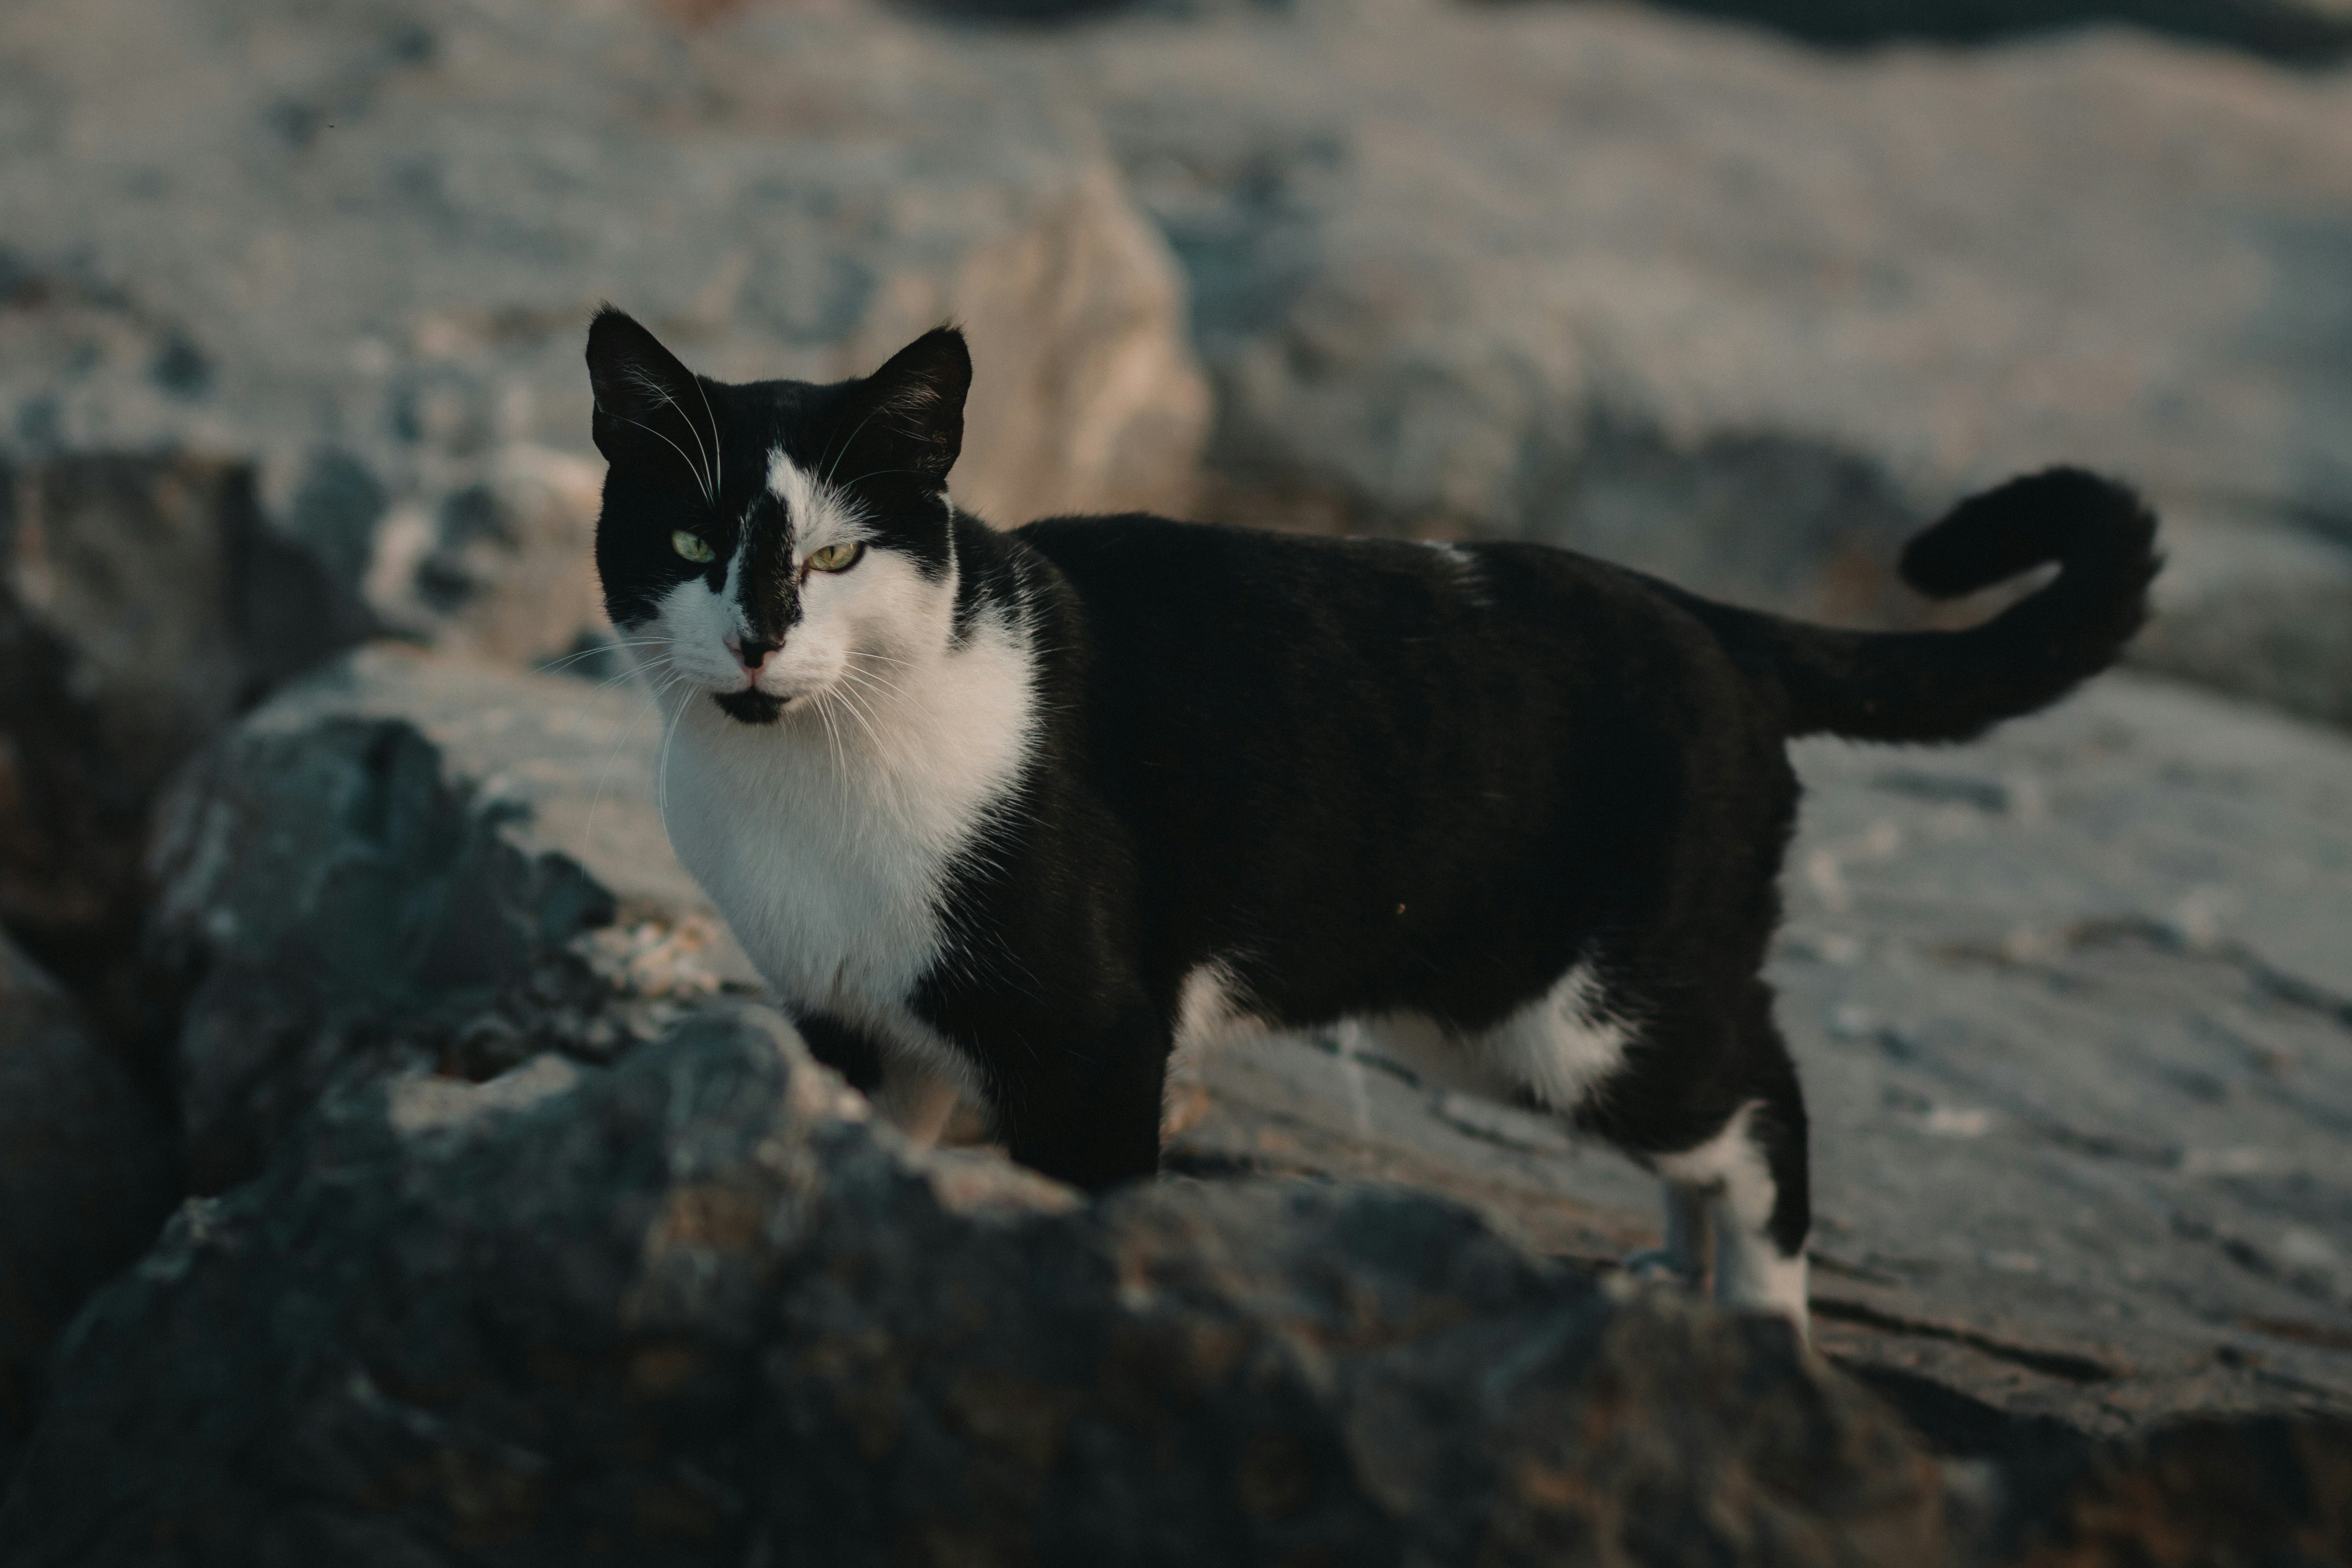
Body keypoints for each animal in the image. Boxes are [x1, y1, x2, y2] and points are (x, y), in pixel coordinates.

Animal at [583, 300, 2154, 1335]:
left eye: (837, 556)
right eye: (688, 540)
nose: (756, 641)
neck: (805, 784)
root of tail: (1714, 620)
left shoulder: (1091, 1040)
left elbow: (1093, 1198)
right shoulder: (854, 1026)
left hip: (1587, 1015)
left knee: (1765, 1106)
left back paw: (1761, 1344)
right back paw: (1673, 1286)